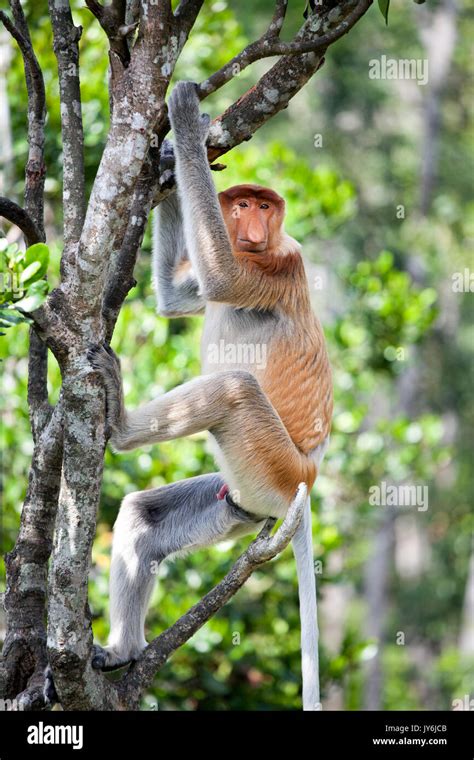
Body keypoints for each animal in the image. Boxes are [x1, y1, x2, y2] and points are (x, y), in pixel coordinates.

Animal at [89, 80, 334, 708]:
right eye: (241, 204)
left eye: (265, 206)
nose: (251, 221)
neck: (262, 248)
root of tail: (307, 476)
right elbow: (179, 297)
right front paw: (174, 150)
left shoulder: (275, 266)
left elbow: (222, 275)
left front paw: (183, 116)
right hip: (239, 499)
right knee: (144, 517)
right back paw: (123, 651)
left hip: (268, 462)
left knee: (234, 388)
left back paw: (120, 426)